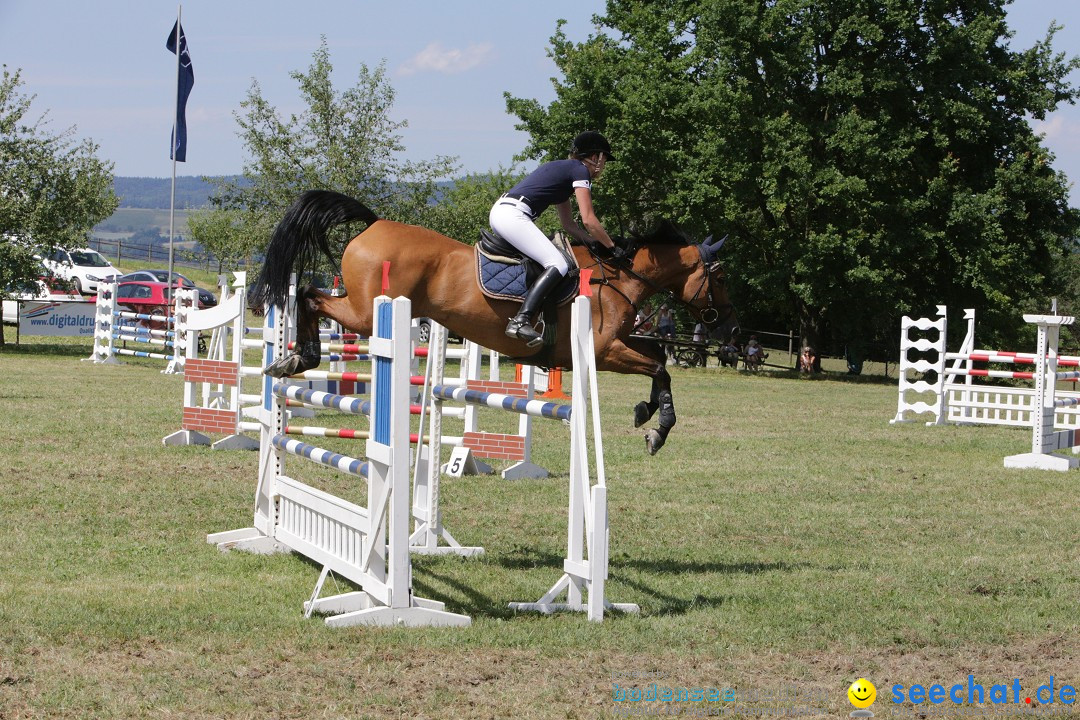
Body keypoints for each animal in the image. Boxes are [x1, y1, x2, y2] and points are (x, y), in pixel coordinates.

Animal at [252, 188, 743, 453]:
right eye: (720, 277)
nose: (731, 329)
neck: (618, 276)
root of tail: (373, 224)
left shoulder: (618, 344)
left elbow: (659, 360)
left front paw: (648, 415)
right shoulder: (604, 351)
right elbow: (658, 363)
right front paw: (657, 427)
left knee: (310, 297)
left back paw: (290, 360)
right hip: (366, 313)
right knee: (309, 296)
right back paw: (299, 358)